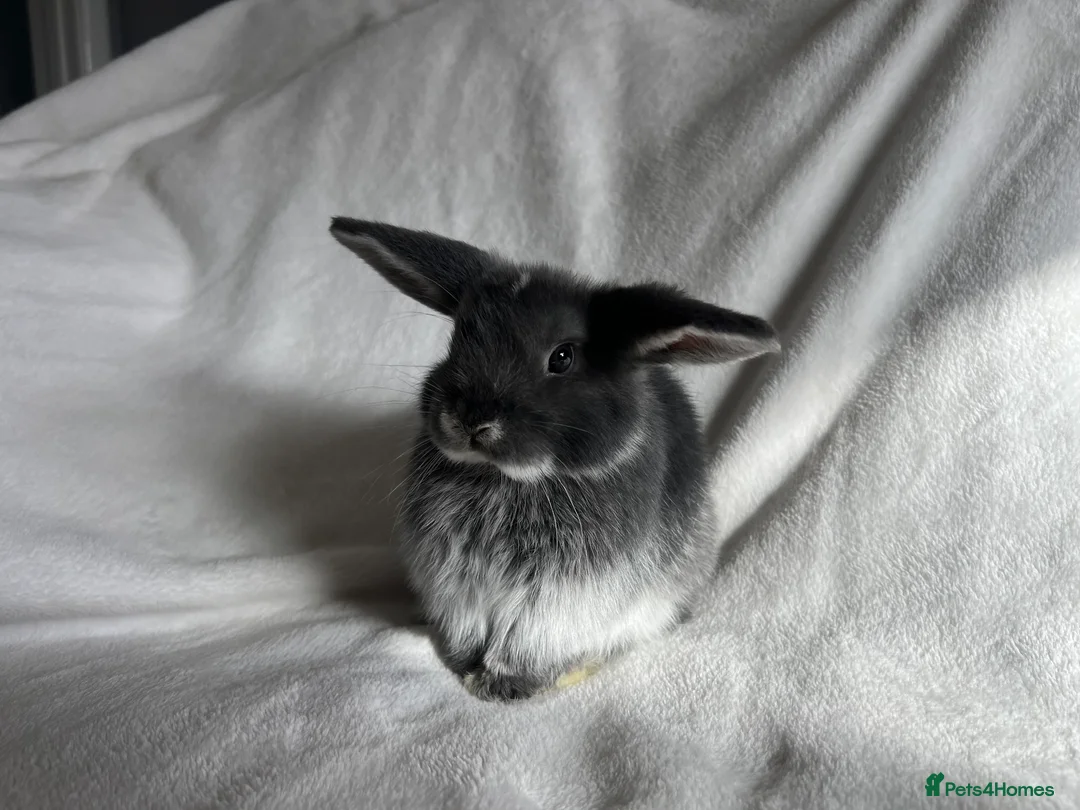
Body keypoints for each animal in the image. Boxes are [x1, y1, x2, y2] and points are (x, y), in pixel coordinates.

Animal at [329, 217, 780, 701]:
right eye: (459, 337)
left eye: (562, 357)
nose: (470, 419)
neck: (506, 479)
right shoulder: (456, 584)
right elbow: (468, 628)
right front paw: (466, 668)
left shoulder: (559, 598)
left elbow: (527, 641)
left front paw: (500, 685)